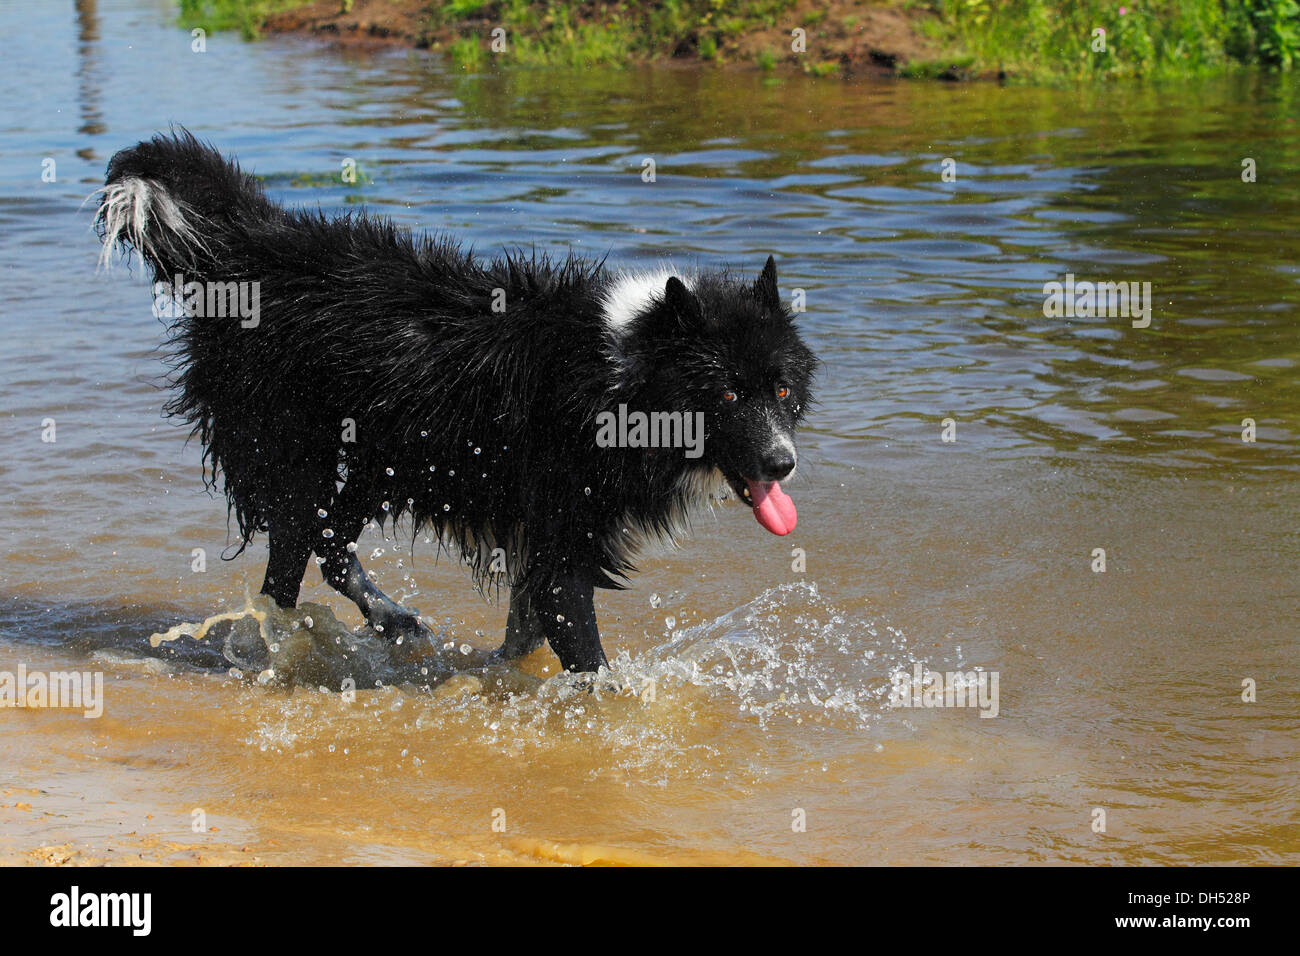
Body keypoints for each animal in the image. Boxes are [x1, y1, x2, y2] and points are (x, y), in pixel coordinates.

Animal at [96, 130, 816, 676]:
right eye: (726, 394)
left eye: (781, 390)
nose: (783, 464)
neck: (622, 371)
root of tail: (254, 250)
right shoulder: (561, 536)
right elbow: (584, 652)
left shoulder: (542, 535)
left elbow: (525, 632)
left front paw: (499, 674)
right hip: (301, 454)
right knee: (291, 567)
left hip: (378, 464)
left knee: (327, 547)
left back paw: (384, 623)